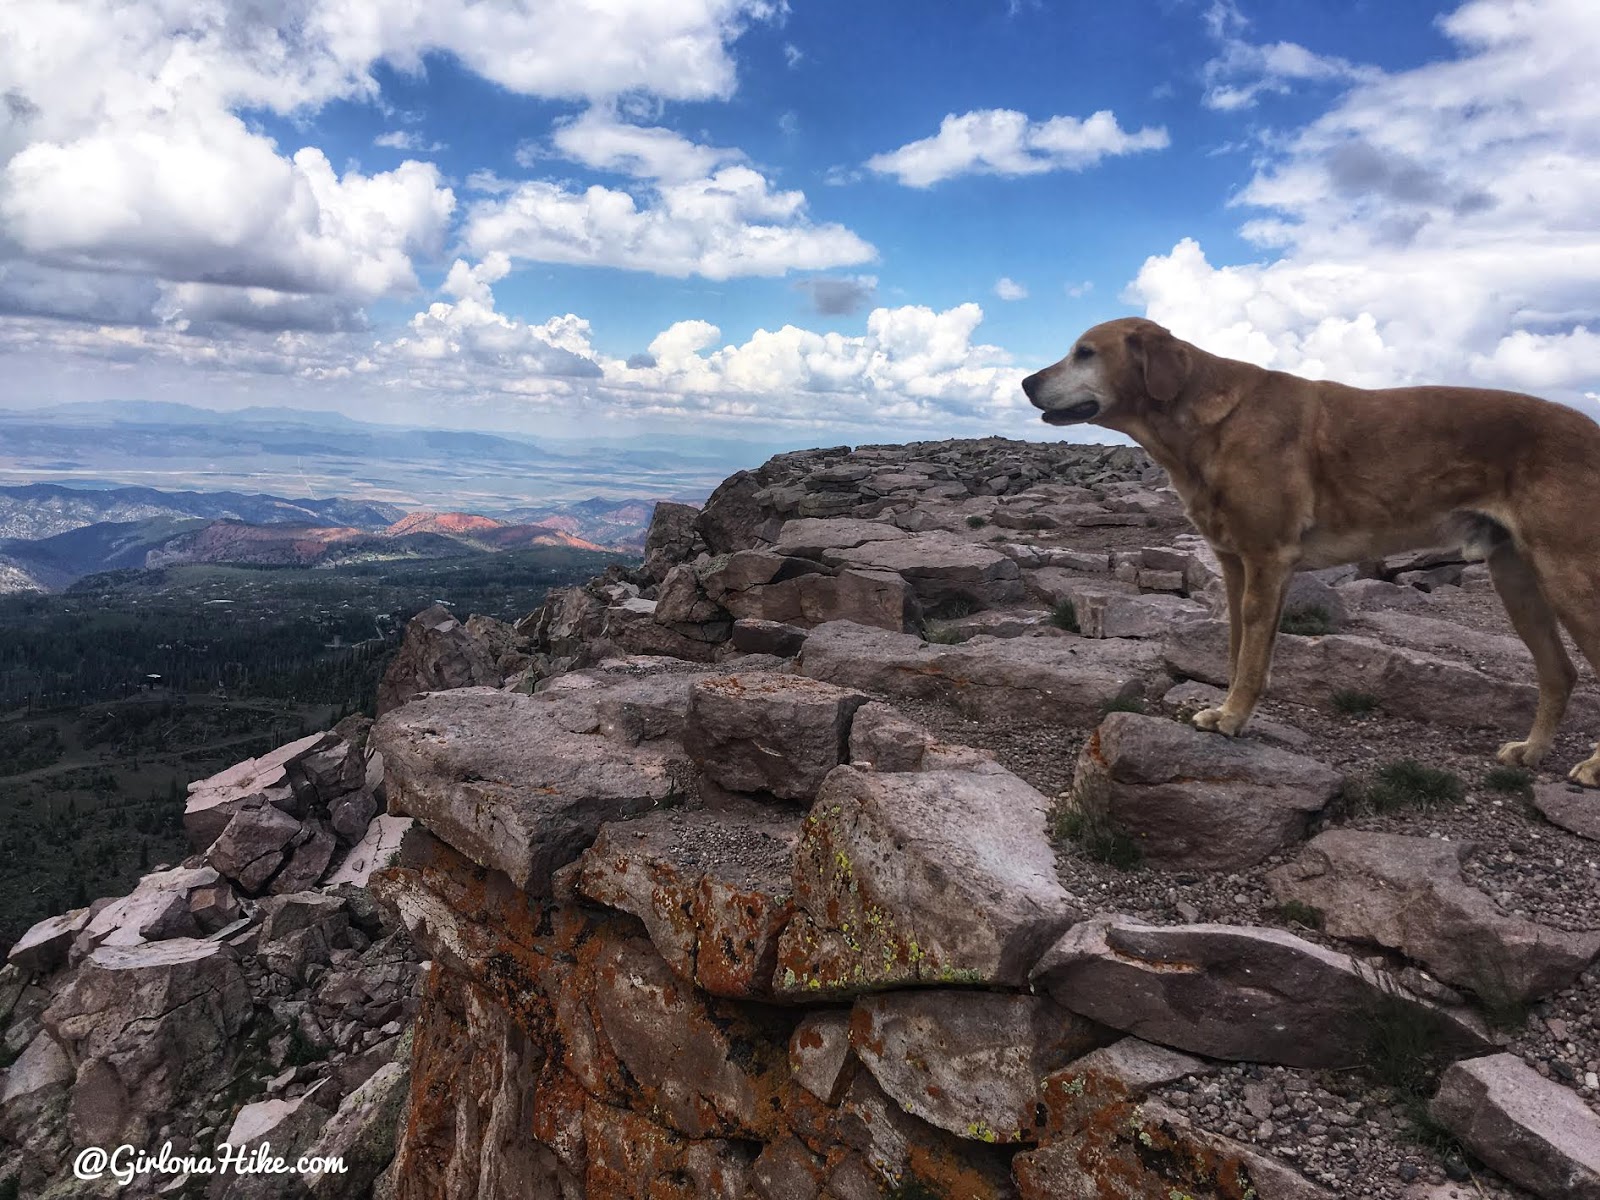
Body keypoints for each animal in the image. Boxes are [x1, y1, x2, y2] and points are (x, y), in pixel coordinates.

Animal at [1024, 320, 1600, 790]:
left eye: (1084, 352)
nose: (1027, 383)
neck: (1206, 420)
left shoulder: (1267, 559)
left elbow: (1252, 655)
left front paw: (1232, 718)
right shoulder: (1235, 564)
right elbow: (1238, 648)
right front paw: (1229, 710)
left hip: (1568, 575)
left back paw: (1591, 768)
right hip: (1516, 577)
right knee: (1559, 672)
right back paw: (1531, 750)